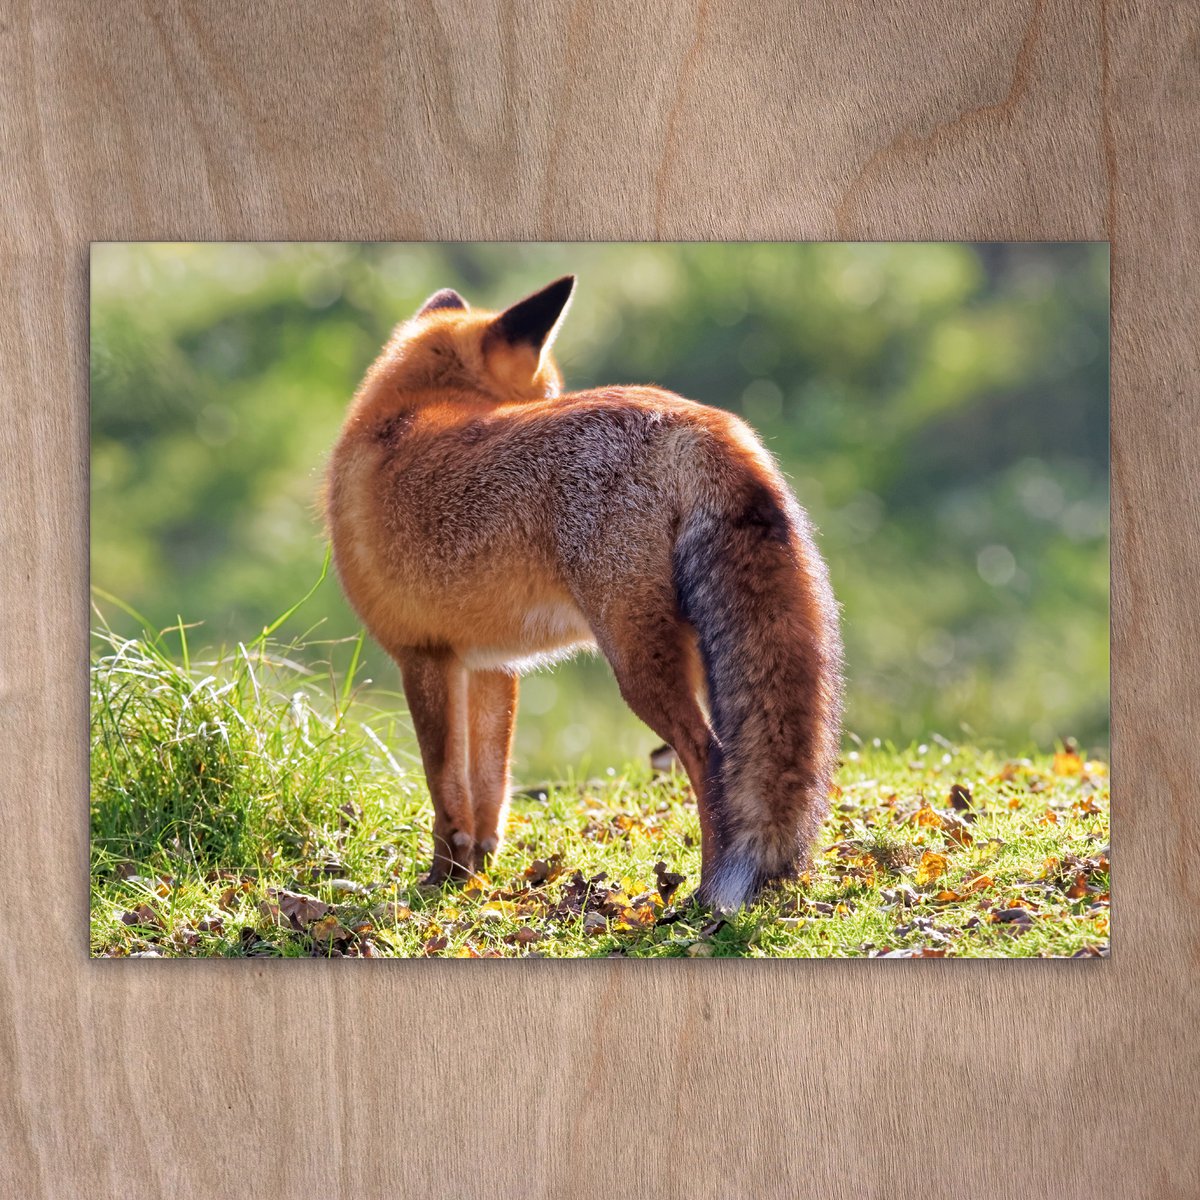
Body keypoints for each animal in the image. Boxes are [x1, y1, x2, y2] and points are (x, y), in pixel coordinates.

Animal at [324, 274, 843, 910]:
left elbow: (445, 791)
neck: (394, 417)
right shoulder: (491, 666)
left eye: (548, 391)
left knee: (713, 756)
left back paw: (704, 889)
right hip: (703, 651)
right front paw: (477, 878)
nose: (549, 398)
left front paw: (440, 882)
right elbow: (488, 790)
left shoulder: (424, 656)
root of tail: (698, 419)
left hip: (636, 662)